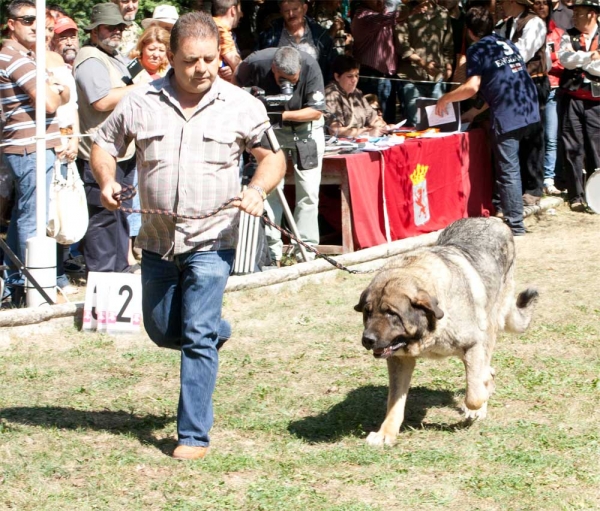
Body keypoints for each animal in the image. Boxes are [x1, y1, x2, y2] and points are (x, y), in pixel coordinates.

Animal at [356, 218, 540, 446]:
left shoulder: (473, 345)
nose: (367, 340)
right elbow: (394, 403)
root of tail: (493, 219)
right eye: (367, 311)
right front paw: (385, 434)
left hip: (490, 323)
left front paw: (477, 406)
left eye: (392, 314)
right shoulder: (400, 360)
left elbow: (474, 396)